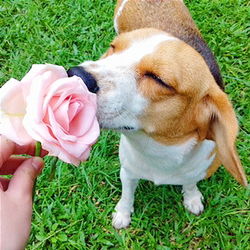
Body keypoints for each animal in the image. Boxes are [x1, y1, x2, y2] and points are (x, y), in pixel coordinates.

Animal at [67, 0, 248, 229]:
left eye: (159, 80)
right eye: (113, 48)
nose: (76, 75)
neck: (158, 150)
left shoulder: (197, 170)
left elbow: (190, 184)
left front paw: (192, 198)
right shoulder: (127, 171)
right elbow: (127, 194)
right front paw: (122, 214)